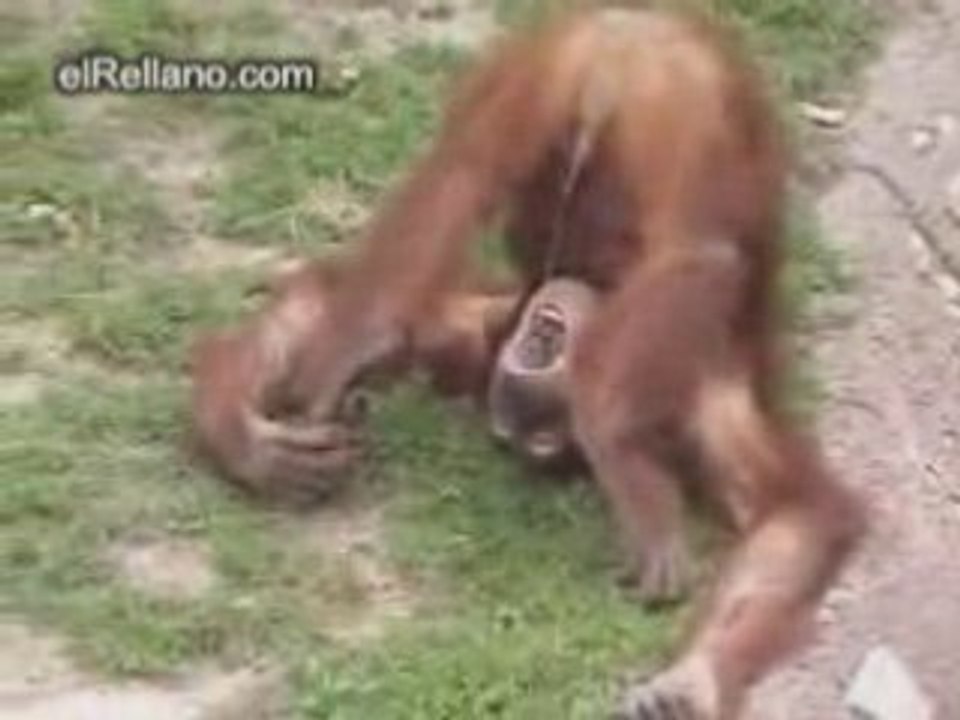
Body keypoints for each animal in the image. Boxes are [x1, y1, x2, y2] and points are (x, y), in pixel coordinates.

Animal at [189, 7, 866, 718]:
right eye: (541, 342)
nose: (541, 334)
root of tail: (626, 46)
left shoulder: (687, 400)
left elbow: (791, 516)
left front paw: (693, 678)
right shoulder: (506, 335)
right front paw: (250, 440)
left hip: (618, 92)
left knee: (615, 218)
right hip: (602, 79)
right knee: (505, 179)